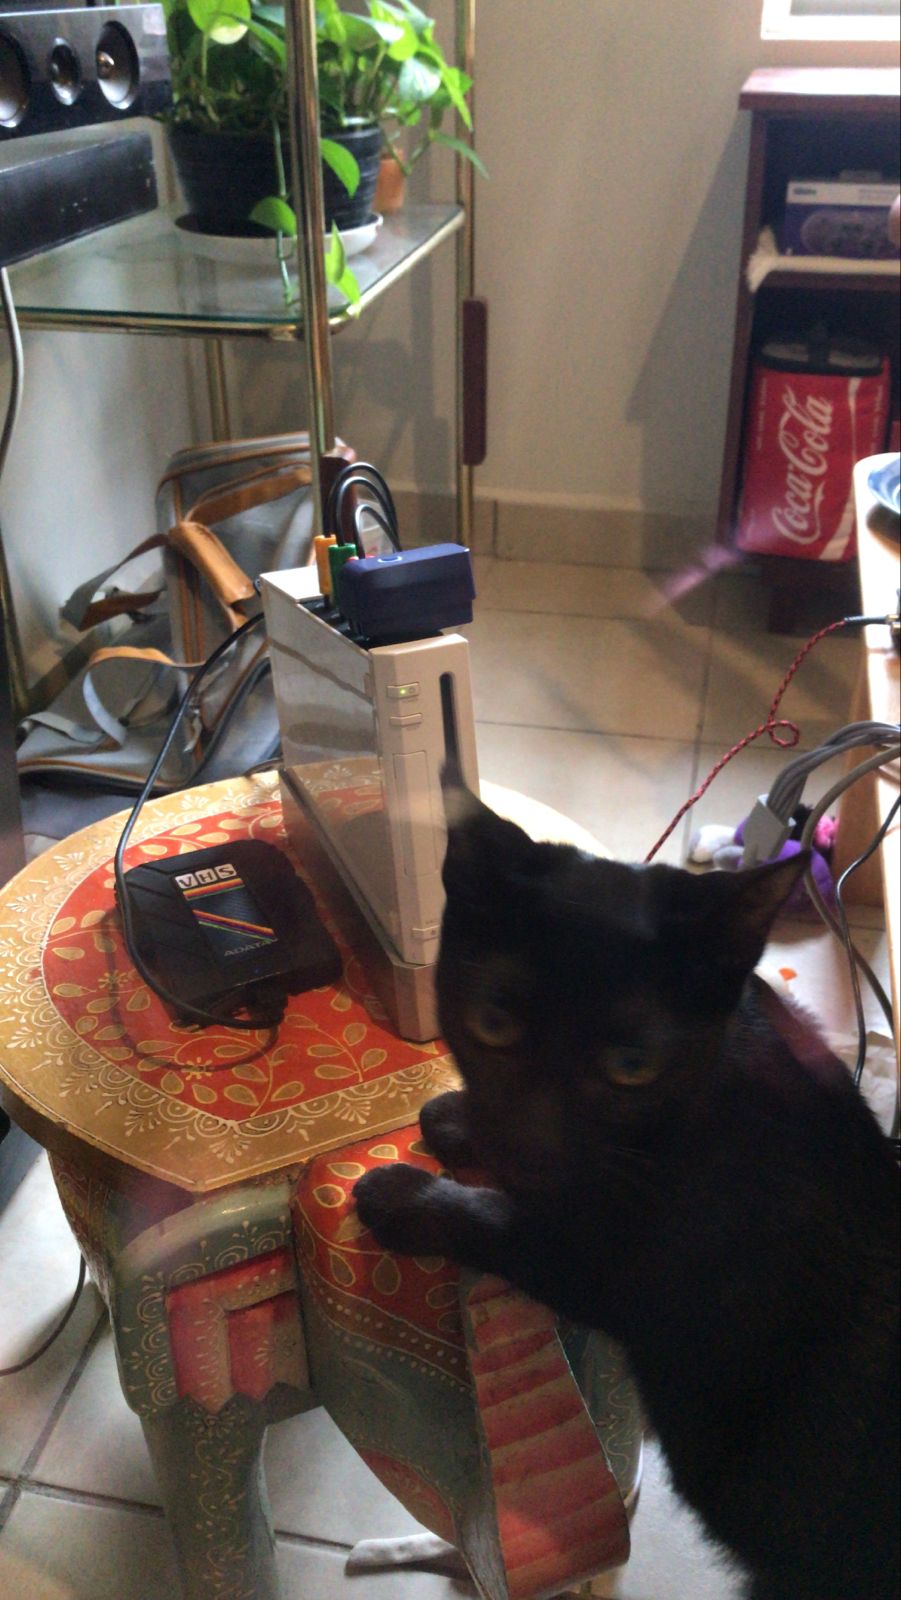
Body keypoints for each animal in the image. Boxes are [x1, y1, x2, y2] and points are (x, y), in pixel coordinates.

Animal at [354, 780, 900, 1600]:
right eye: (492, 1023)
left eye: (632, 1067)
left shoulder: (614, 1273)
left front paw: (401, 1194)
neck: (704, 1101)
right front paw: (457, 1120)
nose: (530, 1139)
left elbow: (497, 1217)